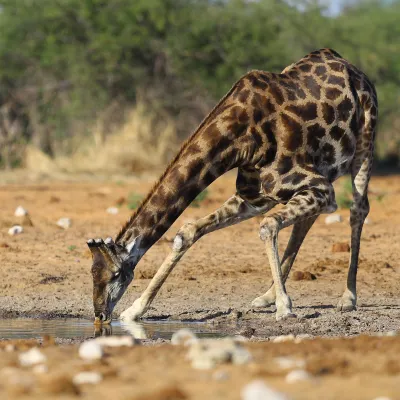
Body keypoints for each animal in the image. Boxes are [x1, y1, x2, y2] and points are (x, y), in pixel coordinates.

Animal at [88, 49, 378, 324]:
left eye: (116, 273)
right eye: (92, 271)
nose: (100, 313)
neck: (240, 139)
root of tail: (352, 68)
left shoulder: (319, 187)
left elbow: (268, 226)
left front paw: (285, 307)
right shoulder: (255, 198)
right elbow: (187, 232)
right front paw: (135, 310)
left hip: (364, 142)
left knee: (358, 209)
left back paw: (348, 297)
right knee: (307, 220)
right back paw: (267, 296)